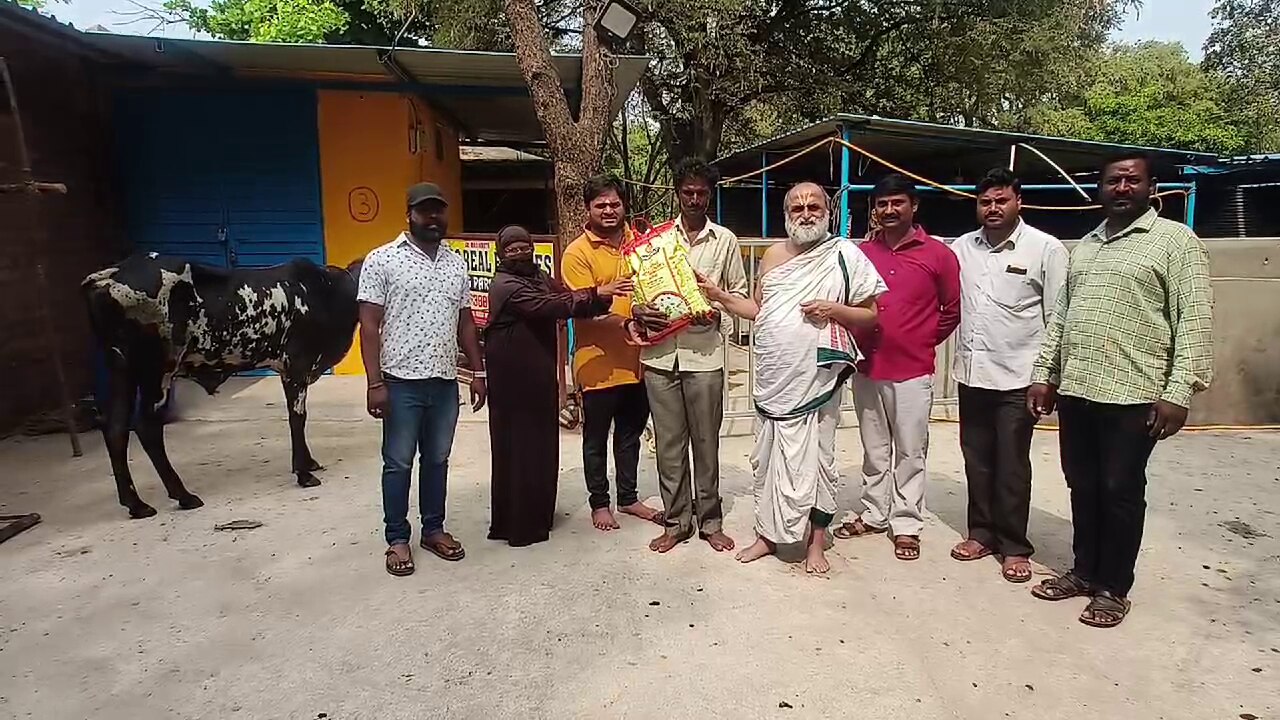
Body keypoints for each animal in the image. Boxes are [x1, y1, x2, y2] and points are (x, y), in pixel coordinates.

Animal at [81, 252, 360, 515]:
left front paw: (309, 463)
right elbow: (297, 419)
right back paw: (183, 495)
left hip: (121, 370)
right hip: (157, 371)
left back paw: (136, 504)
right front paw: (304, 472)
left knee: (116, 429)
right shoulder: (296, 367)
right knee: (146, 428)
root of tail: (111, 275)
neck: (328, 291)